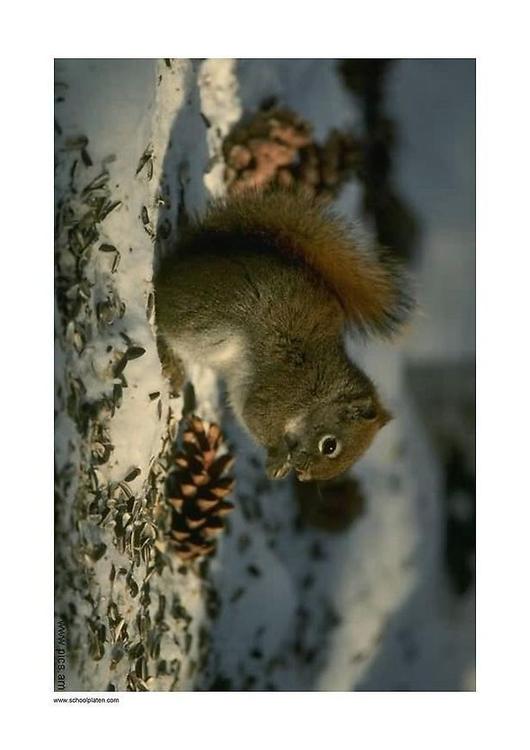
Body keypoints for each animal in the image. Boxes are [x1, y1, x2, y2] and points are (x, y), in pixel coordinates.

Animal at [154, 187, 414, 482]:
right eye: (330, 445)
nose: (302, 475)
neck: (323, 393)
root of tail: (176, 265)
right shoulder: (287, 389)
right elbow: (256, 414)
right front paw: (278, 456)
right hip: (208, 325)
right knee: (167, 330)